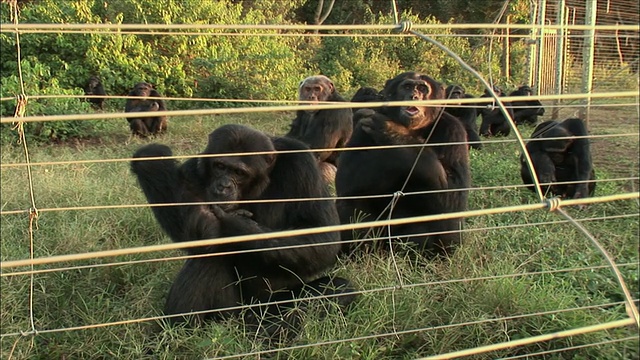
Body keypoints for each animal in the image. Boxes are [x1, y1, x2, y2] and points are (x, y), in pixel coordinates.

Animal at [130, 124, 356, 340]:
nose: (223, 186)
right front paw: (151, 158)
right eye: (220, 166)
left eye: (239, 173)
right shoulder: (192, 171)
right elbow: (196, 231)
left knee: (339, 289)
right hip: (228, 314)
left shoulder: (302, 164)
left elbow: (321, 234)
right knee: (209, 256)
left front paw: (237, 226)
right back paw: (176, 338)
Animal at [336, 71, 470, 258]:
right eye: (407, 87)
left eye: (422, 88)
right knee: (351, 201)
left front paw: (392, 132)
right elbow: (347, 176)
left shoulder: (454, 131)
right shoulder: (362, 126)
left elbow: (455, 192)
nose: (414, 95)